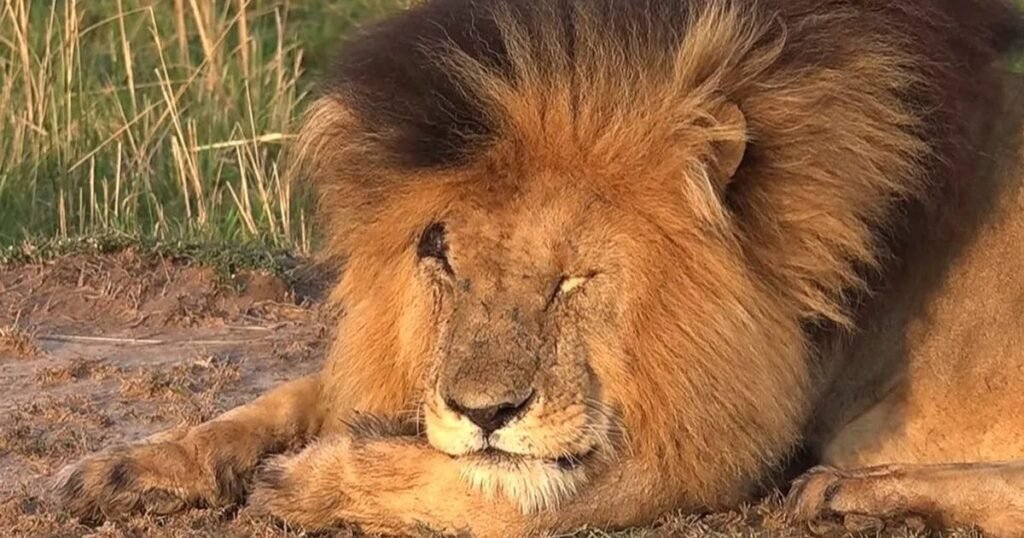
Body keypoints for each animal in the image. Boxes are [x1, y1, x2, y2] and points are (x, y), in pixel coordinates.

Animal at [54, 0, 1024, 536]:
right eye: (439, 257)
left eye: (575, 278)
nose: (485, 412)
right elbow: (293, 393)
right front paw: (135, 466)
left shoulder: (705, 445)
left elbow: (509, 502)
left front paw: (307, 479)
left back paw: (850, 492)